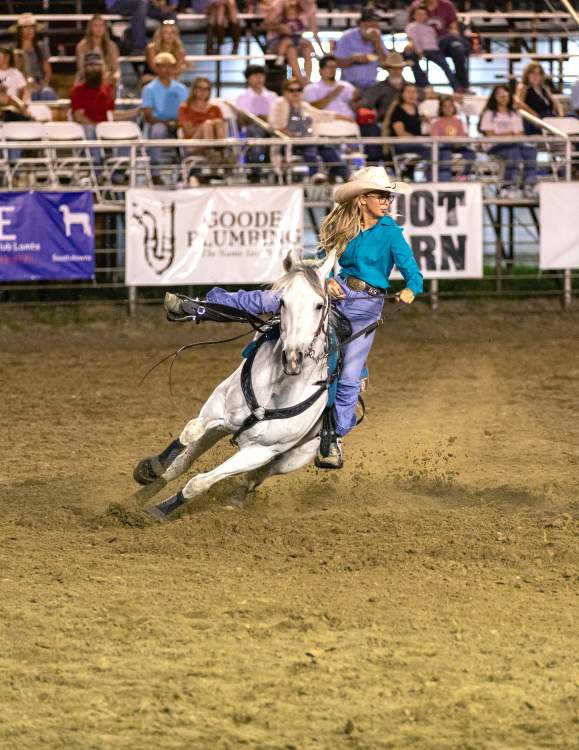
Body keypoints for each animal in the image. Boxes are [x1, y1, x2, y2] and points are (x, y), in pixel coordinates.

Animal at [134, 250, 337, 519]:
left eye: (319, 305)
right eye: (282, 302)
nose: (293, 358)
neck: (278, 389)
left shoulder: (259, 451)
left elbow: (199, 482)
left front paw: (159, 511)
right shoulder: (218, 408)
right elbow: (189, 433)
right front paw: (150, 469)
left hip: (294, 457)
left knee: (255, 477)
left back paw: (236, 499)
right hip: (223, 428)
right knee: (183, 463)